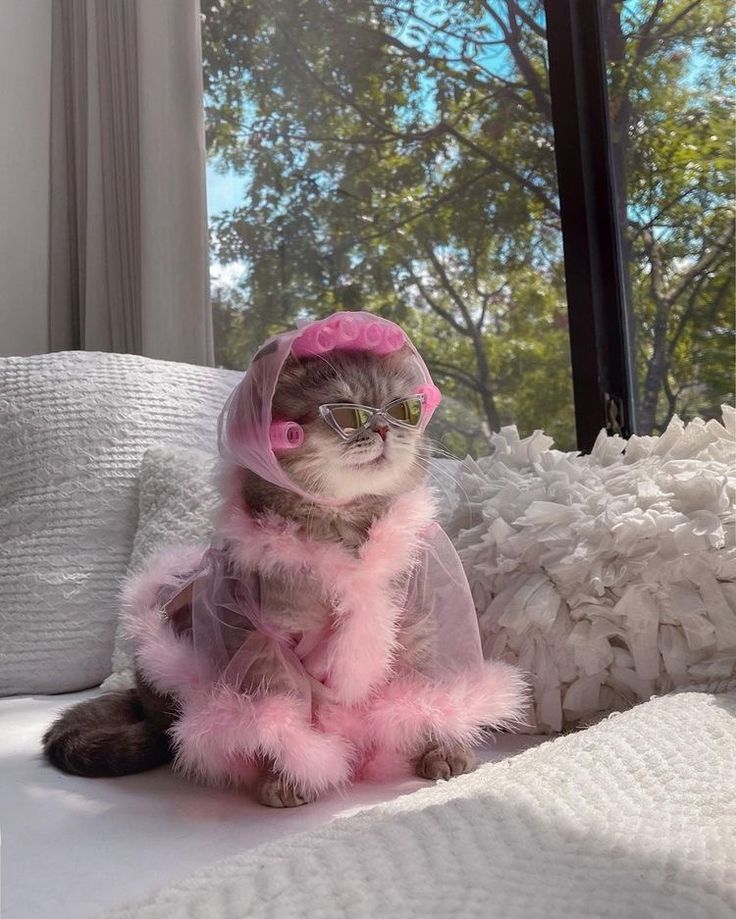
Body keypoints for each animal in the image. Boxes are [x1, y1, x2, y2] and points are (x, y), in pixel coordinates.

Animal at [43, 348, 478, 808]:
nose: (382, 426)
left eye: (402, 410)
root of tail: (141, 697)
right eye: (347, 412)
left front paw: (440, 745)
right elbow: (281, 717)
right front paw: (290, 773)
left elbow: (419, 697)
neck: (341, 531)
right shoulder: (266, 643)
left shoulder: (412, 629)